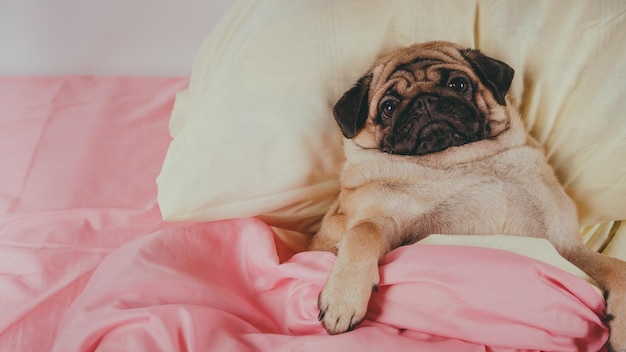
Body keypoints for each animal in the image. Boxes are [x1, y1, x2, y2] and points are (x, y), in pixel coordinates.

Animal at [308, 40, 624, 350]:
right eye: (388, 107)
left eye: (458, 84)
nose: (424, 100)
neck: (462, 160)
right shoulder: (383, 223)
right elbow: (364, 231)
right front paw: (344, 298)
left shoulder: (563, 246)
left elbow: (616, 267)